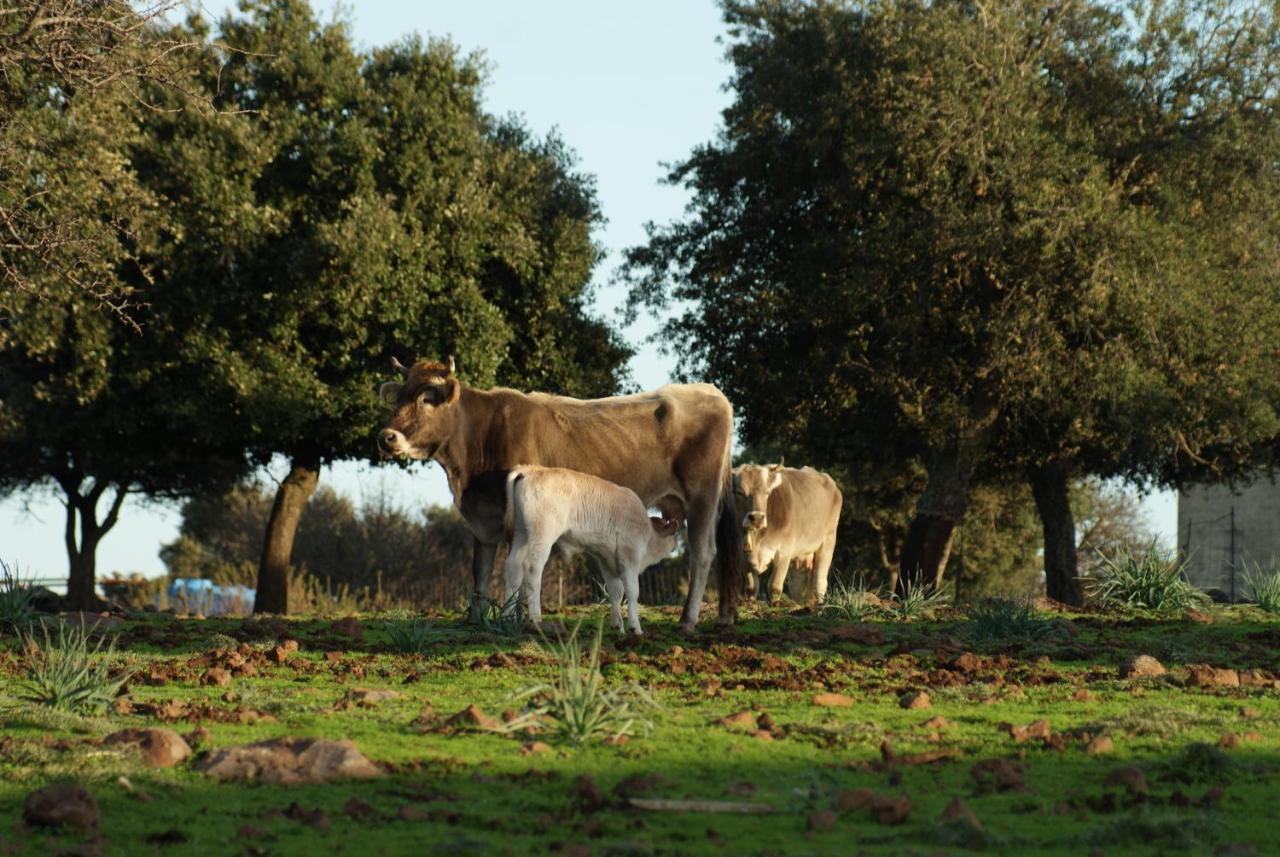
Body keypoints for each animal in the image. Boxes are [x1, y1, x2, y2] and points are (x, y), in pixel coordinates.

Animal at [499, 465, 680, 634]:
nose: (675, 544)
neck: (648, 532)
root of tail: (530, 470)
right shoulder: (629, 558)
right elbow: (632, 591)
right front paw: (635, 628)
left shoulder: (607, 560)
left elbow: (616, 591)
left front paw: (617, 626)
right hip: (542, 533)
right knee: (532, 567)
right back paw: (536, 618)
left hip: (522, 533)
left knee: (513, 568)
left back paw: (507, 617)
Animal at [732, 463, 839, 603]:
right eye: (739, 492)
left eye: (767, 493)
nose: (757, 518)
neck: (757, 538)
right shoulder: (743, 553)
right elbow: (751, 587)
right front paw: (750, 603)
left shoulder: (784, 551)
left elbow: (774, 586)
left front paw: (774, 603)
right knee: (797, 585)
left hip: (828, 540)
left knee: (819, 581)